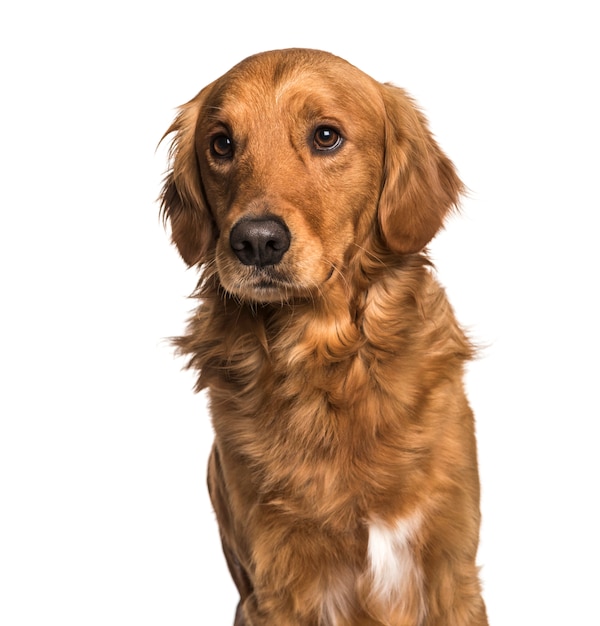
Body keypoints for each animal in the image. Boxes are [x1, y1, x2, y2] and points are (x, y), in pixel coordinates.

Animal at [159, 48, 488, 624]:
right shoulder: (275, 583)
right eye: (221, 144)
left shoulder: (452, 570)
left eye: (326, 136)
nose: (257, 241)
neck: (326, 361)